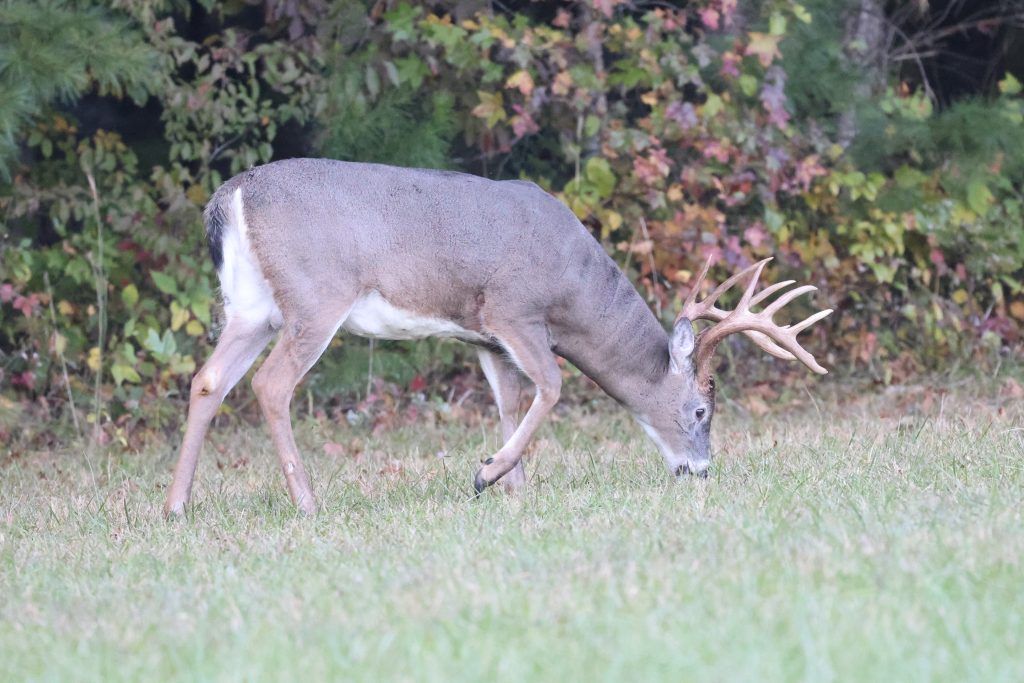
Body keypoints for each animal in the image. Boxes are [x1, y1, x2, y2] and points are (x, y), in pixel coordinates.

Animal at [164, 158, 832, 517]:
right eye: (700, 410)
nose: (700, 471)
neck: (572, 289)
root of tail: (231, 196)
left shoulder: (483, 338)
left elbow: (510, 400)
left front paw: (514, 487)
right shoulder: (513, 310)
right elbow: (554, 386)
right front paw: (488, 474)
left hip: (251, 307)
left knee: (208, 379)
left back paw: (175, 507)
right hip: (315, 295)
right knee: (272, 385)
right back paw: (306, 503)